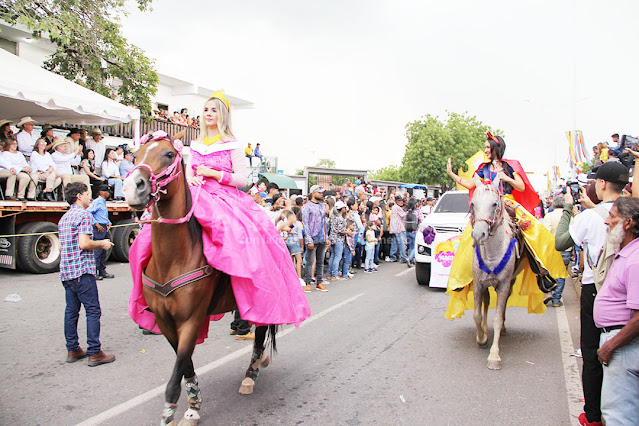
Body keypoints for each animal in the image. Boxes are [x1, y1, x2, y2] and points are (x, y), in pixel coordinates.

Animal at [124, 132, 276, 422]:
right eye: (136, 155)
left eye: (168, 154)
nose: (132, 187)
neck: (173, 259)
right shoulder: (165, 321)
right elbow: (184, 365)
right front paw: (194, 403)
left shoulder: (191, 319)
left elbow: (176, 375)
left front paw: (171, 414)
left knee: (261, 334)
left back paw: (250, 375)